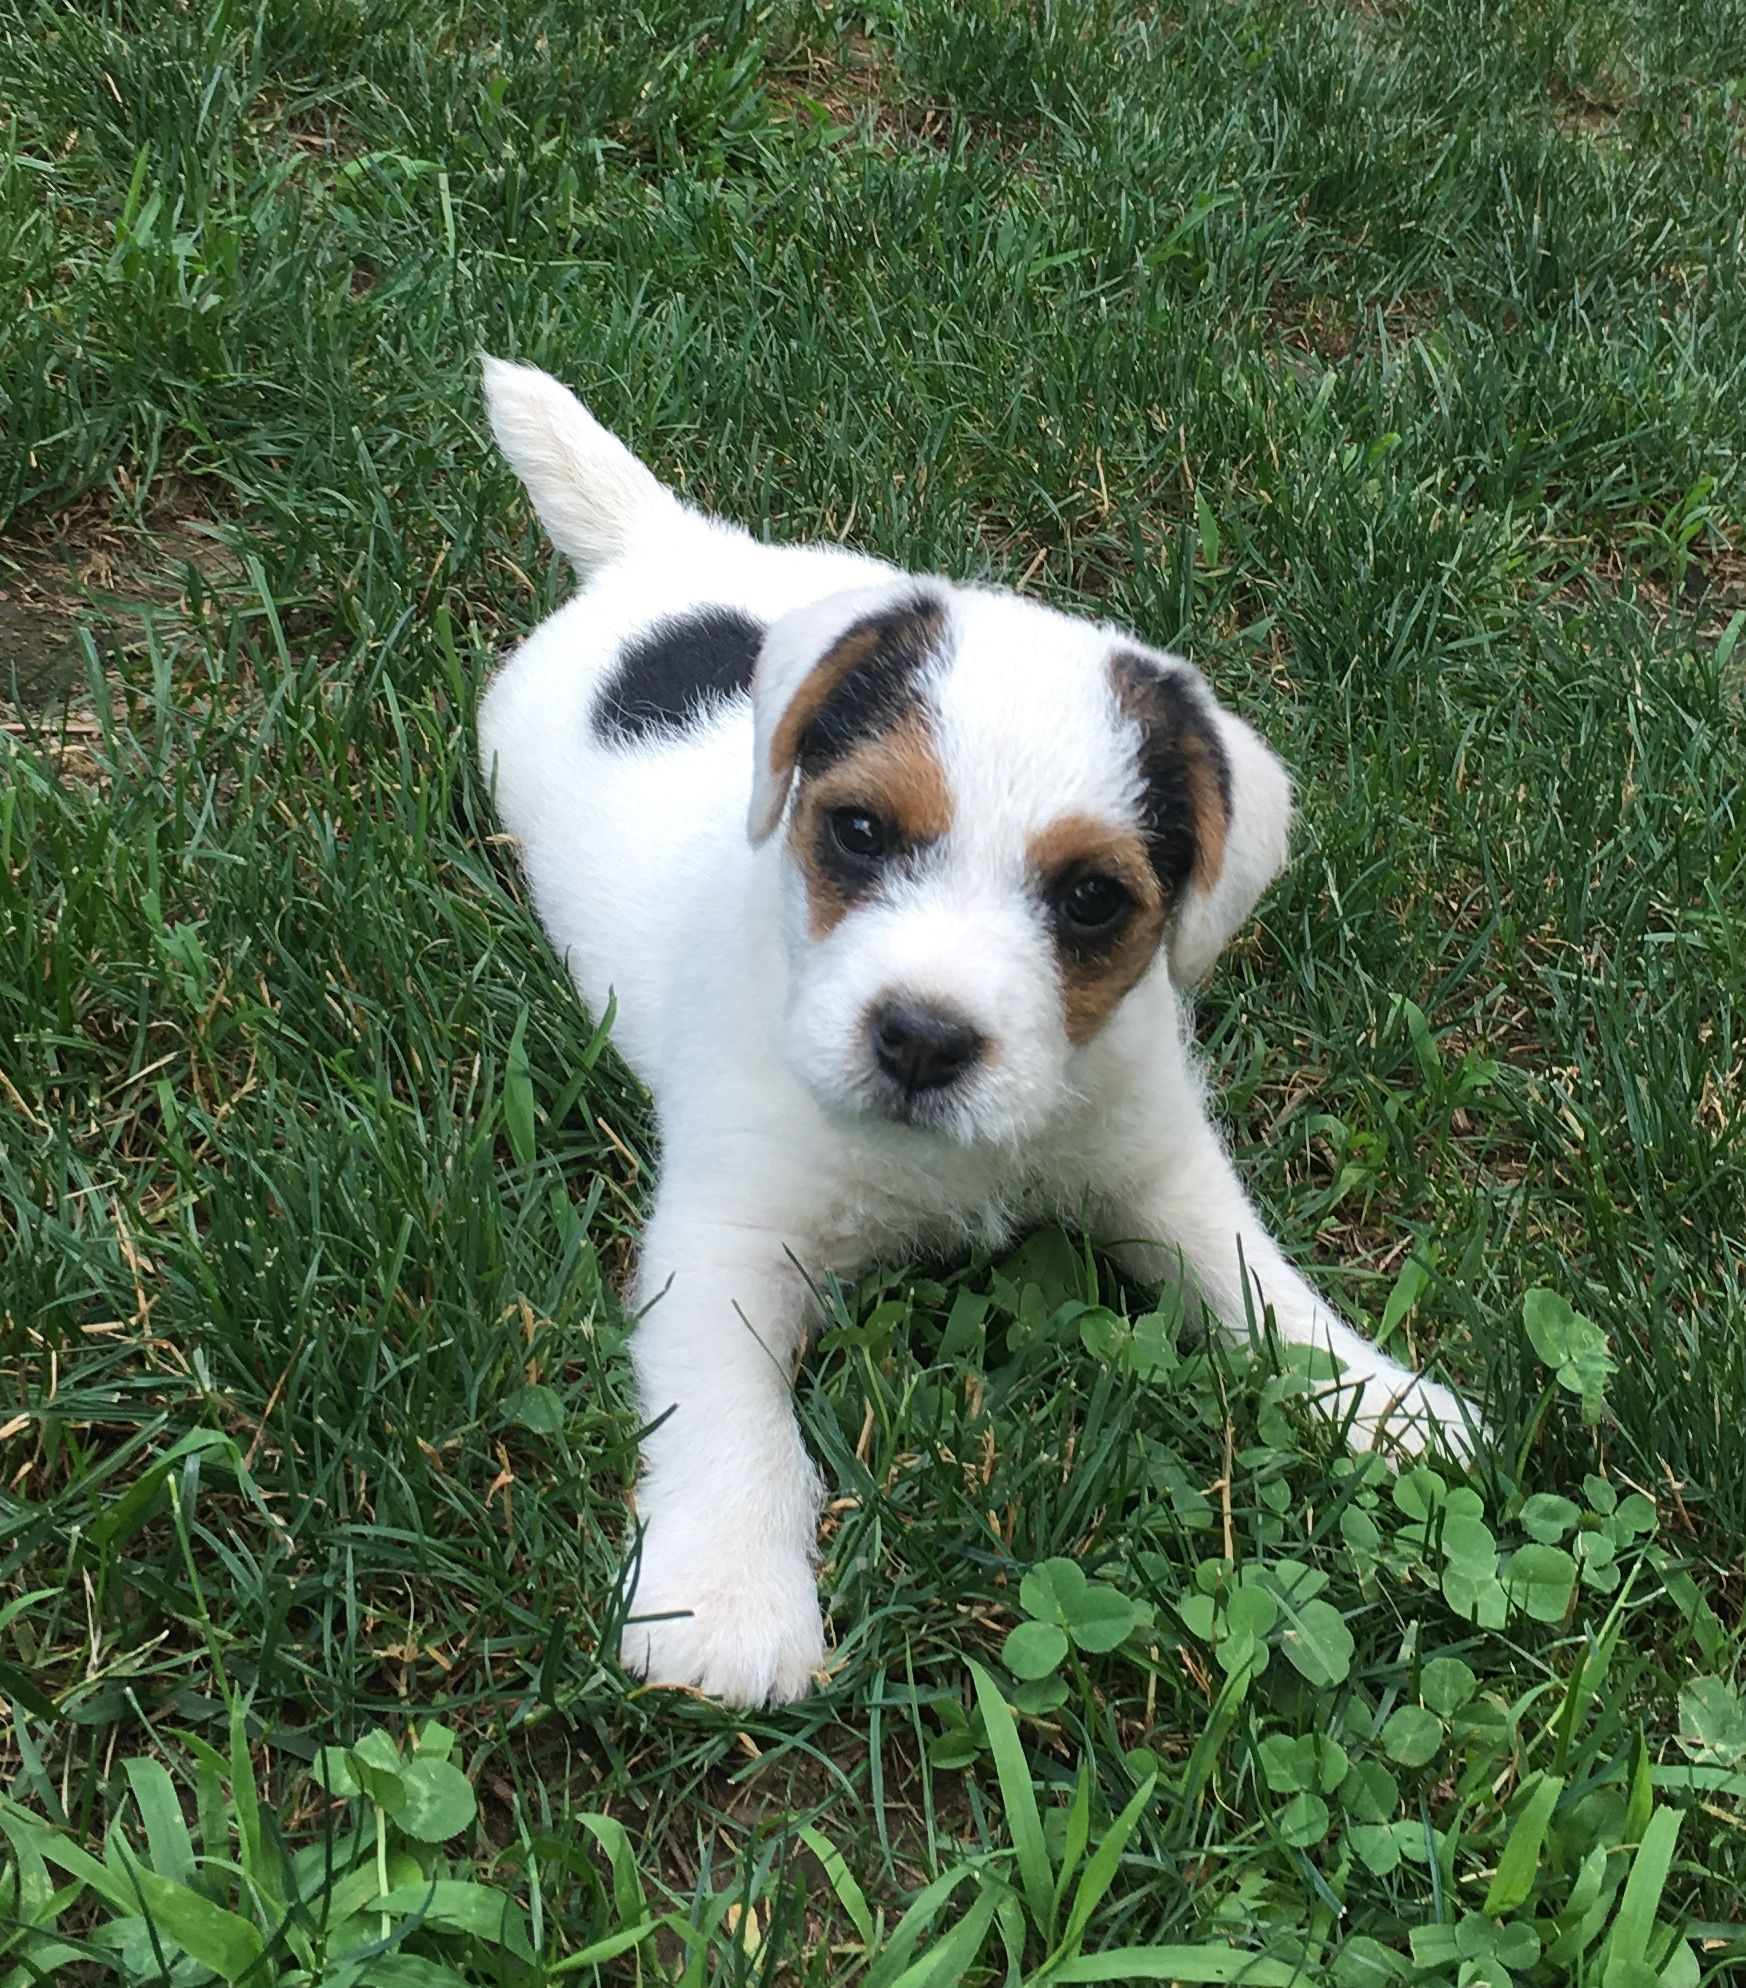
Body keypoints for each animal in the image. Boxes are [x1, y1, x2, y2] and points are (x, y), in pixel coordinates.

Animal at [481, 349, 1487, 1701]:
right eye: (857, 830)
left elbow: (1261, 1290)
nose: (920, 1039)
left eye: (1093, 898)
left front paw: (1381, 1401)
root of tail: (664, 549)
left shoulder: (1161, 1173)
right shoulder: (727, 1240)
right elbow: (731, 1413)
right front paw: (730, 1595)